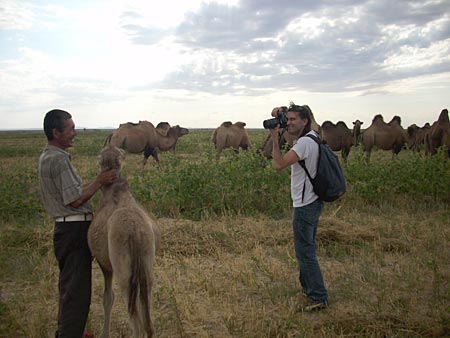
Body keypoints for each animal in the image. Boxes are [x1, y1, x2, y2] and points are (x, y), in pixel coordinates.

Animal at [87, 146, 161, 338]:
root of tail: (135, 231)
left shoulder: (104, 262)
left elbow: (108, 297)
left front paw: (104, 334)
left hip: (124, 271)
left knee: (136, 320)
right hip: (146, 263)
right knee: (148, 320)